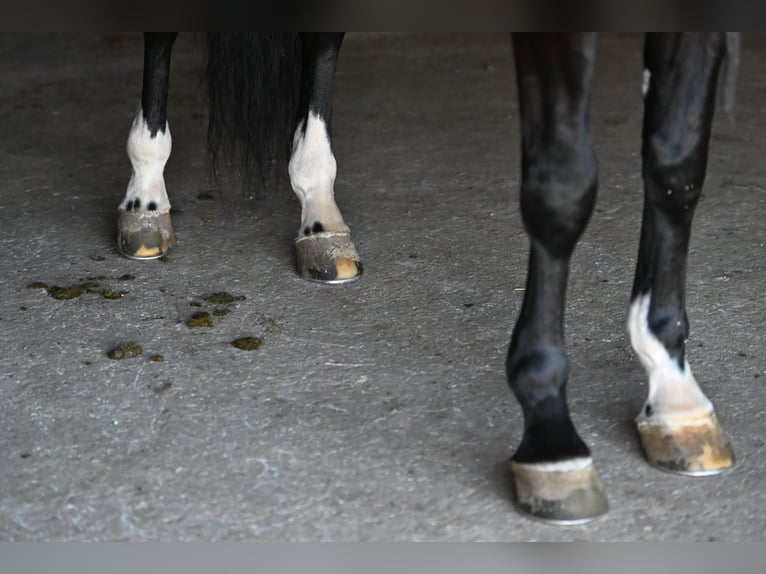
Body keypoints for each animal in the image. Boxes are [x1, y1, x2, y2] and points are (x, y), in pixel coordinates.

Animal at [117, 33, 739, 524]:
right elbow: (563, 188)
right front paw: (550, 435)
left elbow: (677, 163)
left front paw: (673, 393)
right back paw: (146, 198)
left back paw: (320, 216)